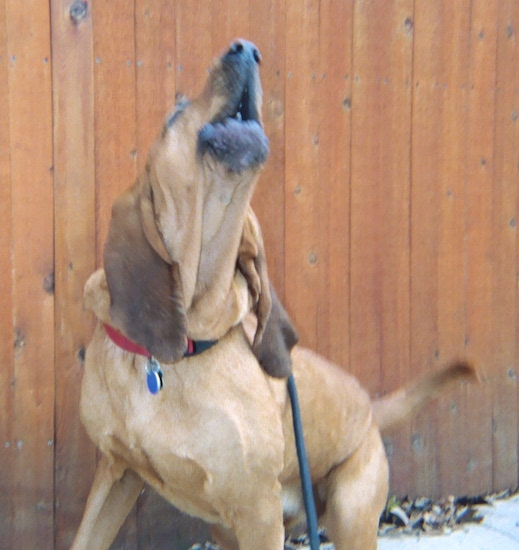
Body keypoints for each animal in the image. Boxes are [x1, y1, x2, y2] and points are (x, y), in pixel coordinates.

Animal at [72, 41, 476, 548]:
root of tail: (369, 406)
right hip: (227, 528)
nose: (244, 48)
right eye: (176, 113)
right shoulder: (117, 474)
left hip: (349, 512)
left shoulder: (256, 511)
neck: (175, 356)